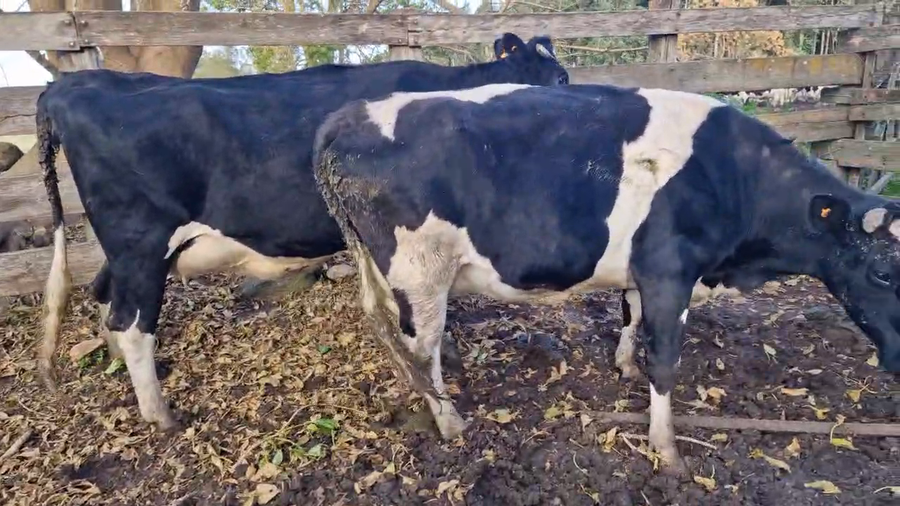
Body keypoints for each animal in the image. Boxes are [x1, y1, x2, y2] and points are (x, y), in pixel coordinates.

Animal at [35, 33, 569, 431]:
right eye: (560, 78)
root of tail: (73, 85)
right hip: (140, 242)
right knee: (131, 322)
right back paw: (161, 414)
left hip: (129, 251)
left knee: (106, 297)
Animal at [312, 82, 900, 475]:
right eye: (882, 272)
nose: (896, 359)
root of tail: (346, 117)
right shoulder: (669, 269)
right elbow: (666, 358)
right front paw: (666, 445)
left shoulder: (645, 273)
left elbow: (629, 315)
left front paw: (624, 366)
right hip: (420, 268)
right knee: (420, 347)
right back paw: (450, 420)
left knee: (392, 333)